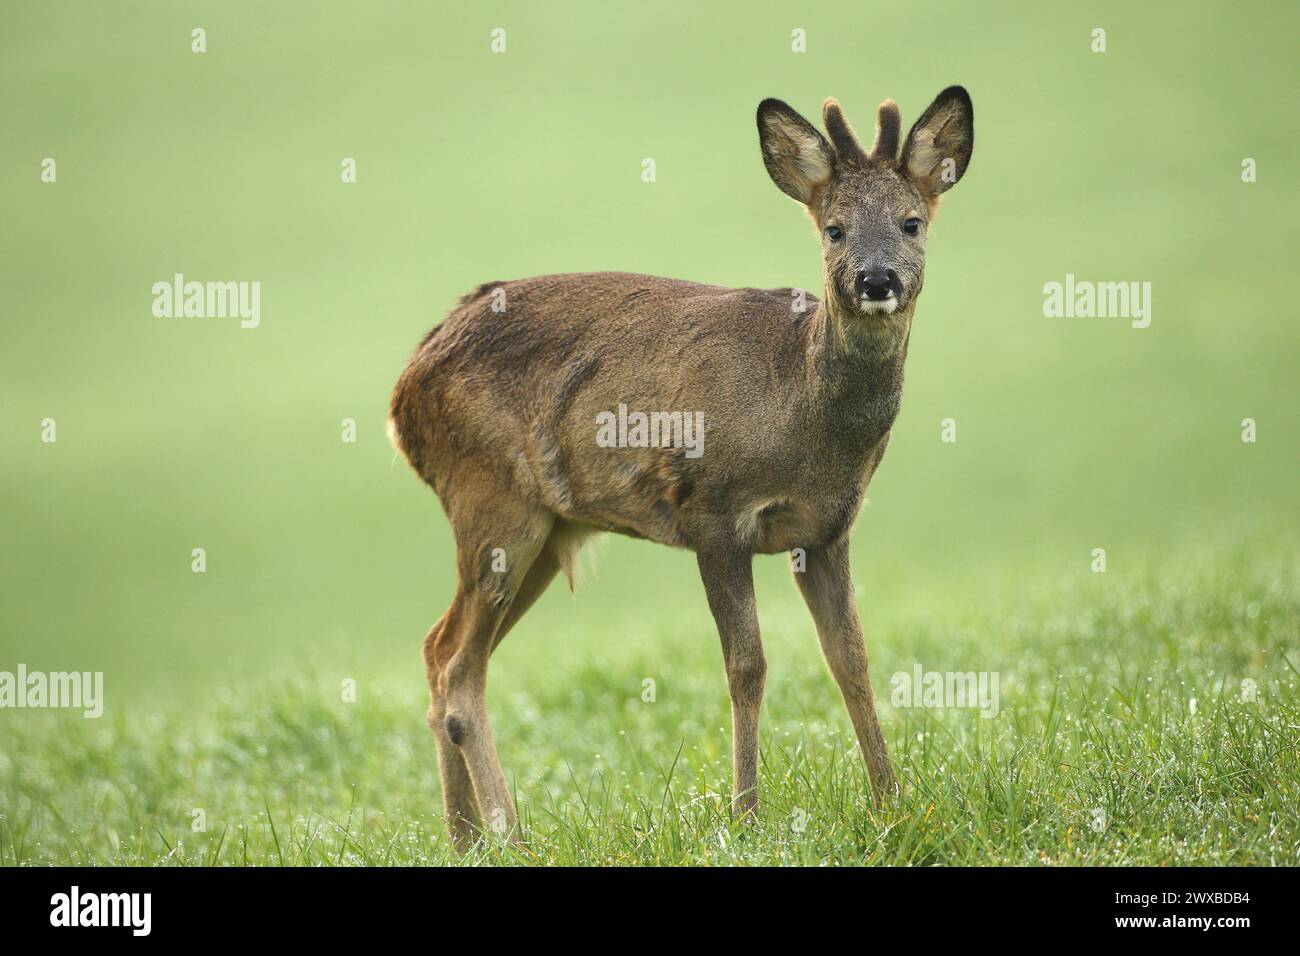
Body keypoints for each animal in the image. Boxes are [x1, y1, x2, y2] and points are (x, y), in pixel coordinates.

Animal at [389, 87, 974, 851]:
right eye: (835, 229)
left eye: (911, 222)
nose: (877, 281)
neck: (797, 399)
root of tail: (403, 390)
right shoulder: (711, 510)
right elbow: (747, 666)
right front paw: (746, 816)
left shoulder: (827, 528)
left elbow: (851, 658)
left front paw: (893, 804)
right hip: (490, 498)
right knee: (457, 667)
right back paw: (510, 837)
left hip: (546, 528)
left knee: (441, 651)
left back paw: (466, 841)